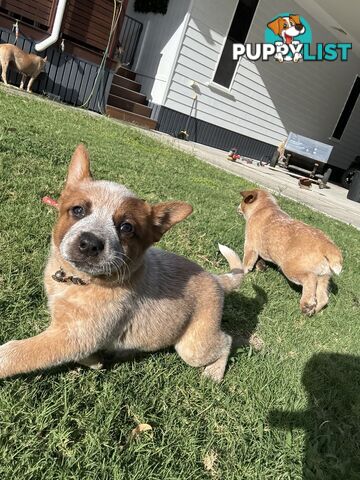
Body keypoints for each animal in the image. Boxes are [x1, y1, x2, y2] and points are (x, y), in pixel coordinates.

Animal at [0, 144, 245, 380]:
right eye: (78, 210)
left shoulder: (74, 336)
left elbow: (17, 352)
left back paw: (214, 373)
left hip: (193, 347)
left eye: (126, 227)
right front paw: (96, 360)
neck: (77, 280)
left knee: (226, 340)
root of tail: (215, 278)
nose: (90, 243)